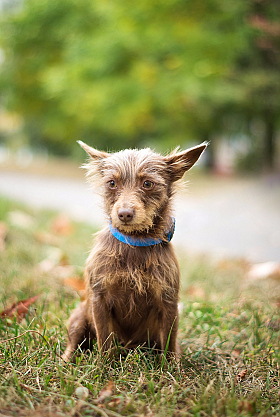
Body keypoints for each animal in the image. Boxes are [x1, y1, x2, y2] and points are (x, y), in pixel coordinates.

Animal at [64, 141, 208, 360]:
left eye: (147, 184)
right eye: (112, 183)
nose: (124, 214)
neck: (134, 242)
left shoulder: (169, 303)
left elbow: (169, 345)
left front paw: (170, 368)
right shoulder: (99, 299)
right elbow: (104, 341)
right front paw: (104, 365)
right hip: (79, 316)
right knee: (73, 343)